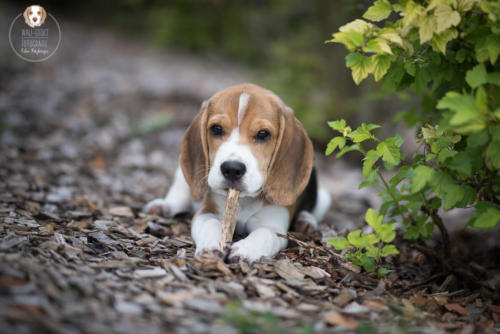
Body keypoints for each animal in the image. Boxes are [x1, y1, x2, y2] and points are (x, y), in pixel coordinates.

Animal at [145, 83, 332, 260]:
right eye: (216, 129)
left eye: (263, 134)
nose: (232, 169)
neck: (243, 200)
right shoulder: (206, 211)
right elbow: (209, 223)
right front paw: (210, 247)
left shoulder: (274, 225)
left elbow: (264, 233)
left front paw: (246, 250)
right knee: (181, 194)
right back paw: (162, 206)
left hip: (323, 197)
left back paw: (305, 221)